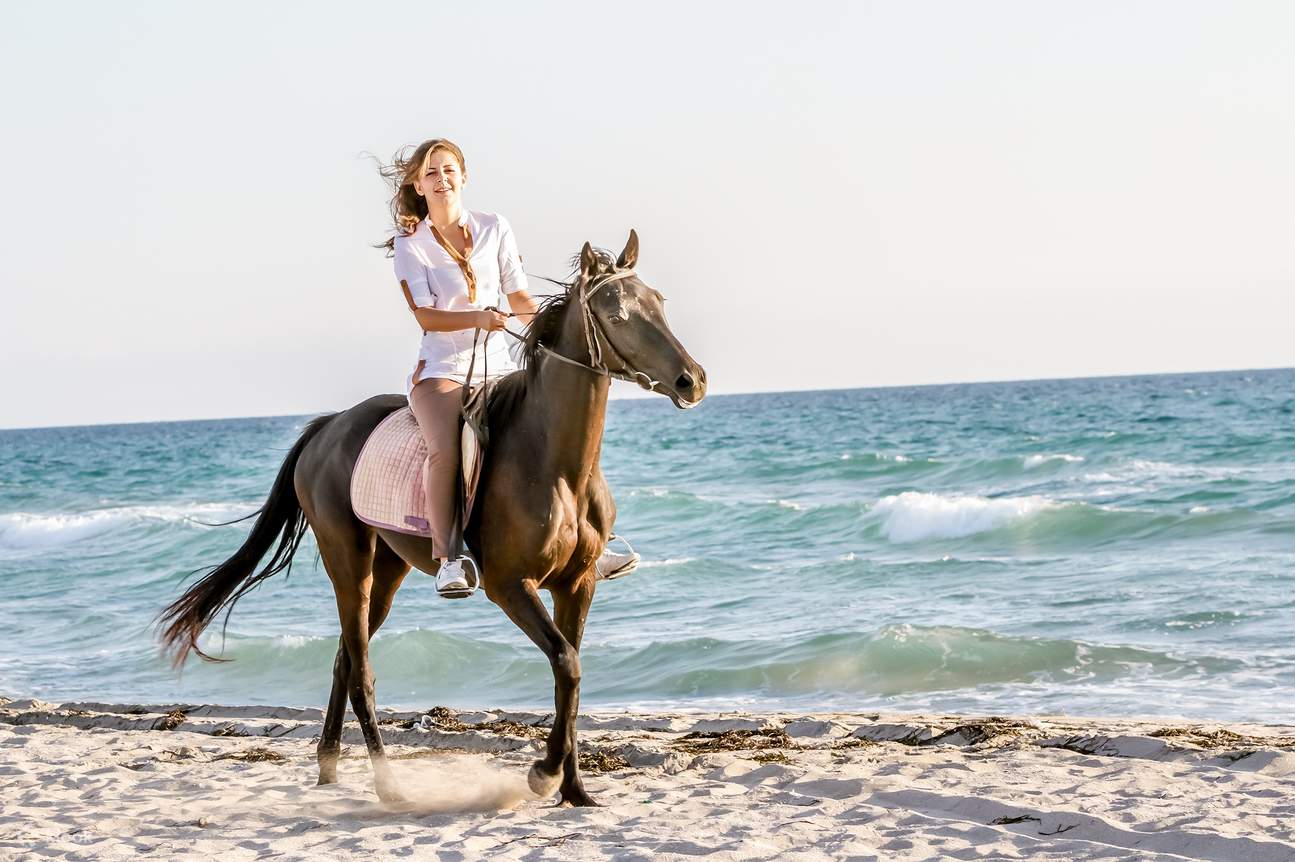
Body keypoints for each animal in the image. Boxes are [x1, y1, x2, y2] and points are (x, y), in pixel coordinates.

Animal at [158, 231, 706, 806]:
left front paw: (575, 791)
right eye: (617, 313)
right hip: (348, 561)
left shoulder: (577, 584)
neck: (553, 461)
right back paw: (389, 788)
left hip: (388, 569)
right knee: (361, 673)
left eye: (659, 302)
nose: (692, 381)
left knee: (344, 658)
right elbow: (566, 663)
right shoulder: (511, 586)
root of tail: (328, 427)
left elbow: (571, 676)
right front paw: (545, 773)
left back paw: (328, 769)